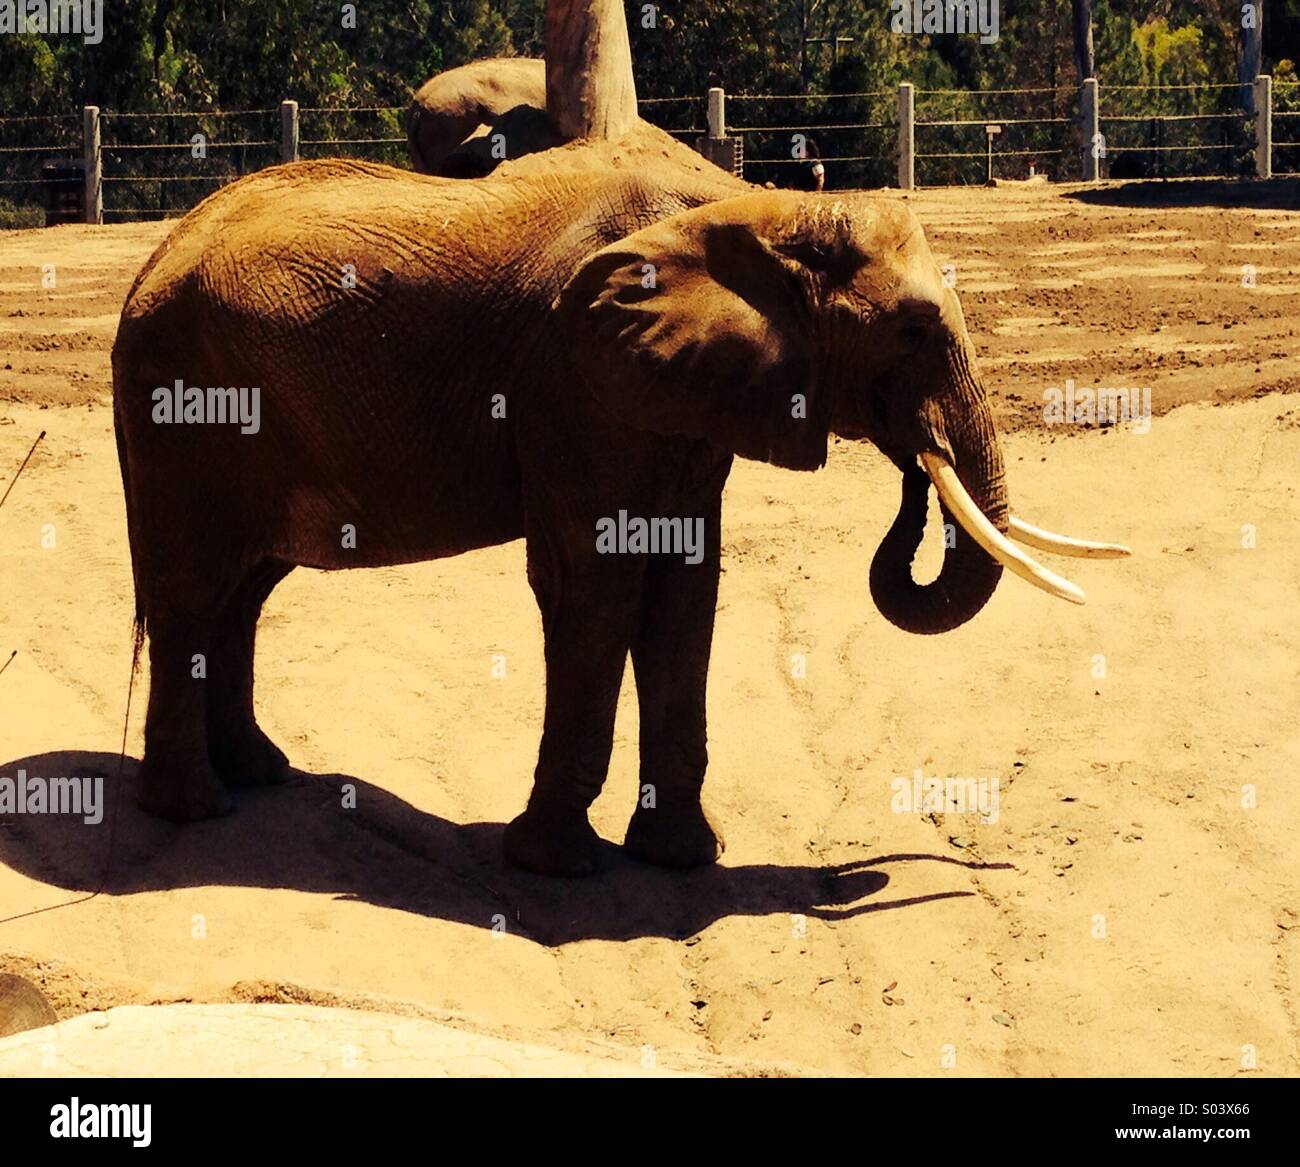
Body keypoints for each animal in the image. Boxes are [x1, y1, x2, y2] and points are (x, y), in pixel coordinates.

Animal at [111, 156, 1127, 877]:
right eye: (913, 331)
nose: (918, 465)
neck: (754, 212)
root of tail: (152, 260)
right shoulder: (575, 382)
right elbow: (596, 585)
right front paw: (559, 865)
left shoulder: (688, 391)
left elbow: (684, 588)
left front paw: (683, 858)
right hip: (185, 408)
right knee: (195, 590)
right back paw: (196, 807)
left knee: (243, 591)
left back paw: (259, 773)